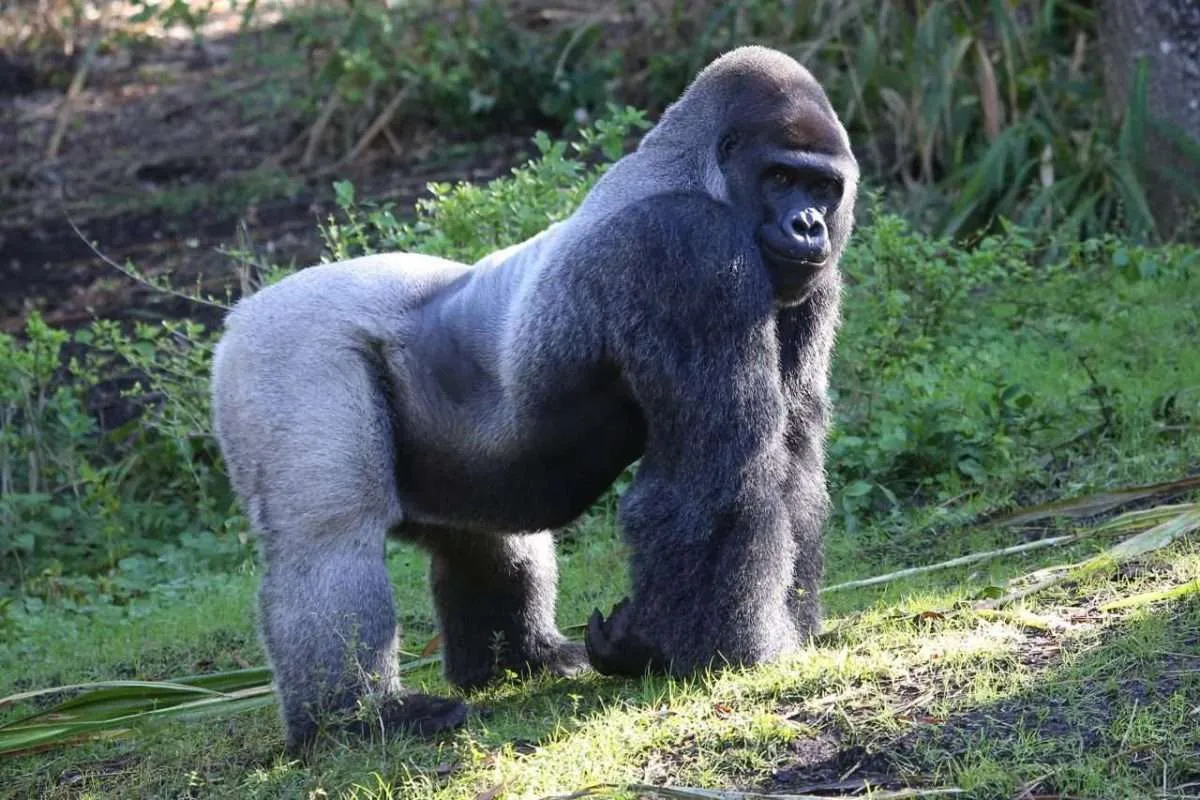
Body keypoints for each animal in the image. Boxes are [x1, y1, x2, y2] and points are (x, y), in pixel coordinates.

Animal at [210, 45, 858, 752]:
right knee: (329, 540)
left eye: (823, 188)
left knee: (487, 538)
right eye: (779, 177)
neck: (700, 173)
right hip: (284, 350)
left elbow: (792, 451)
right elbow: (721, 471)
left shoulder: (809, 279)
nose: (809, 225)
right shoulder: (689, 249)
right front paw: (703, 653)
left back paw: (522, 660)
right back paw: (351, 720)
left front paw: (784, 629)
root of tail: (241, 312)